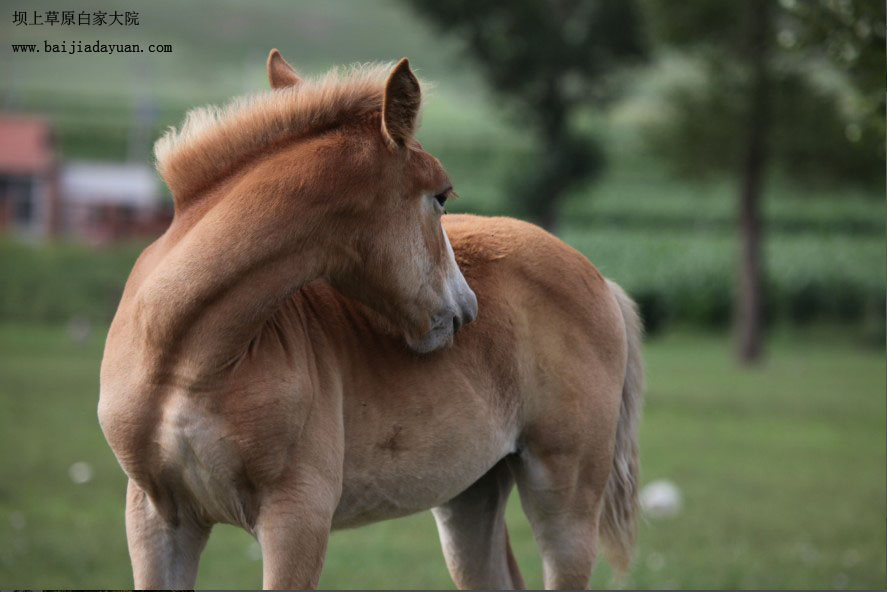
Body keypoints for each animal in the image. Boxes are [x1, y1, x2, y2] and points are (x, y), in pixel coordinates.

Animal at [99, 49, 644, 588]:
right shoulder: (156, 518)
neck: (186, 359)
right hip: (471, 495)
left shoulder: (297, 518)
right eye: (441, 196)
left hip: (567, 501)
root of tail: (599, 279)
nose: (467, 309)